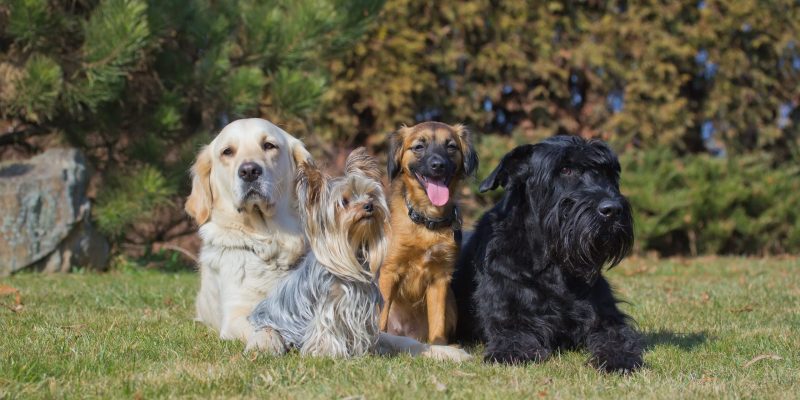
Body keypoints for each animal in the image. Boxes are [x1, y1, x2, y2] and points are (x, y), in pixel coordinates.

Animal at [247, 148, 472, 360]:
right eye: (344, 202)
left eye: (370, 195)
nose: (369, 205)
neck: (354, 251)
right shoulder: (331, 308)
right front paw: (329, 353)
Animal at [378, 121, 478, 344]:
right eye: (418, 147)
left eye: (451, 146)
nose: (438, 165)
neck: (426, 223)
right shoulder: (389, 271)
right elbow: (380, 316)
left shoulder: (440, 279)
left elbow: (437, 324)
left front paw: (439, 347)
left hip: (451, 303)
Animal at [450, 136, 644, 374]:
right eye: (565, 169)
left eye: (607, 173)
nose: (613, 210)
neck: (553, 262)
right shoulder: (509, 318)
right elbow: (513, 339)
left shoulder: (606, 318)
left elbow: (616, 336)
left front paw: (619, 358)